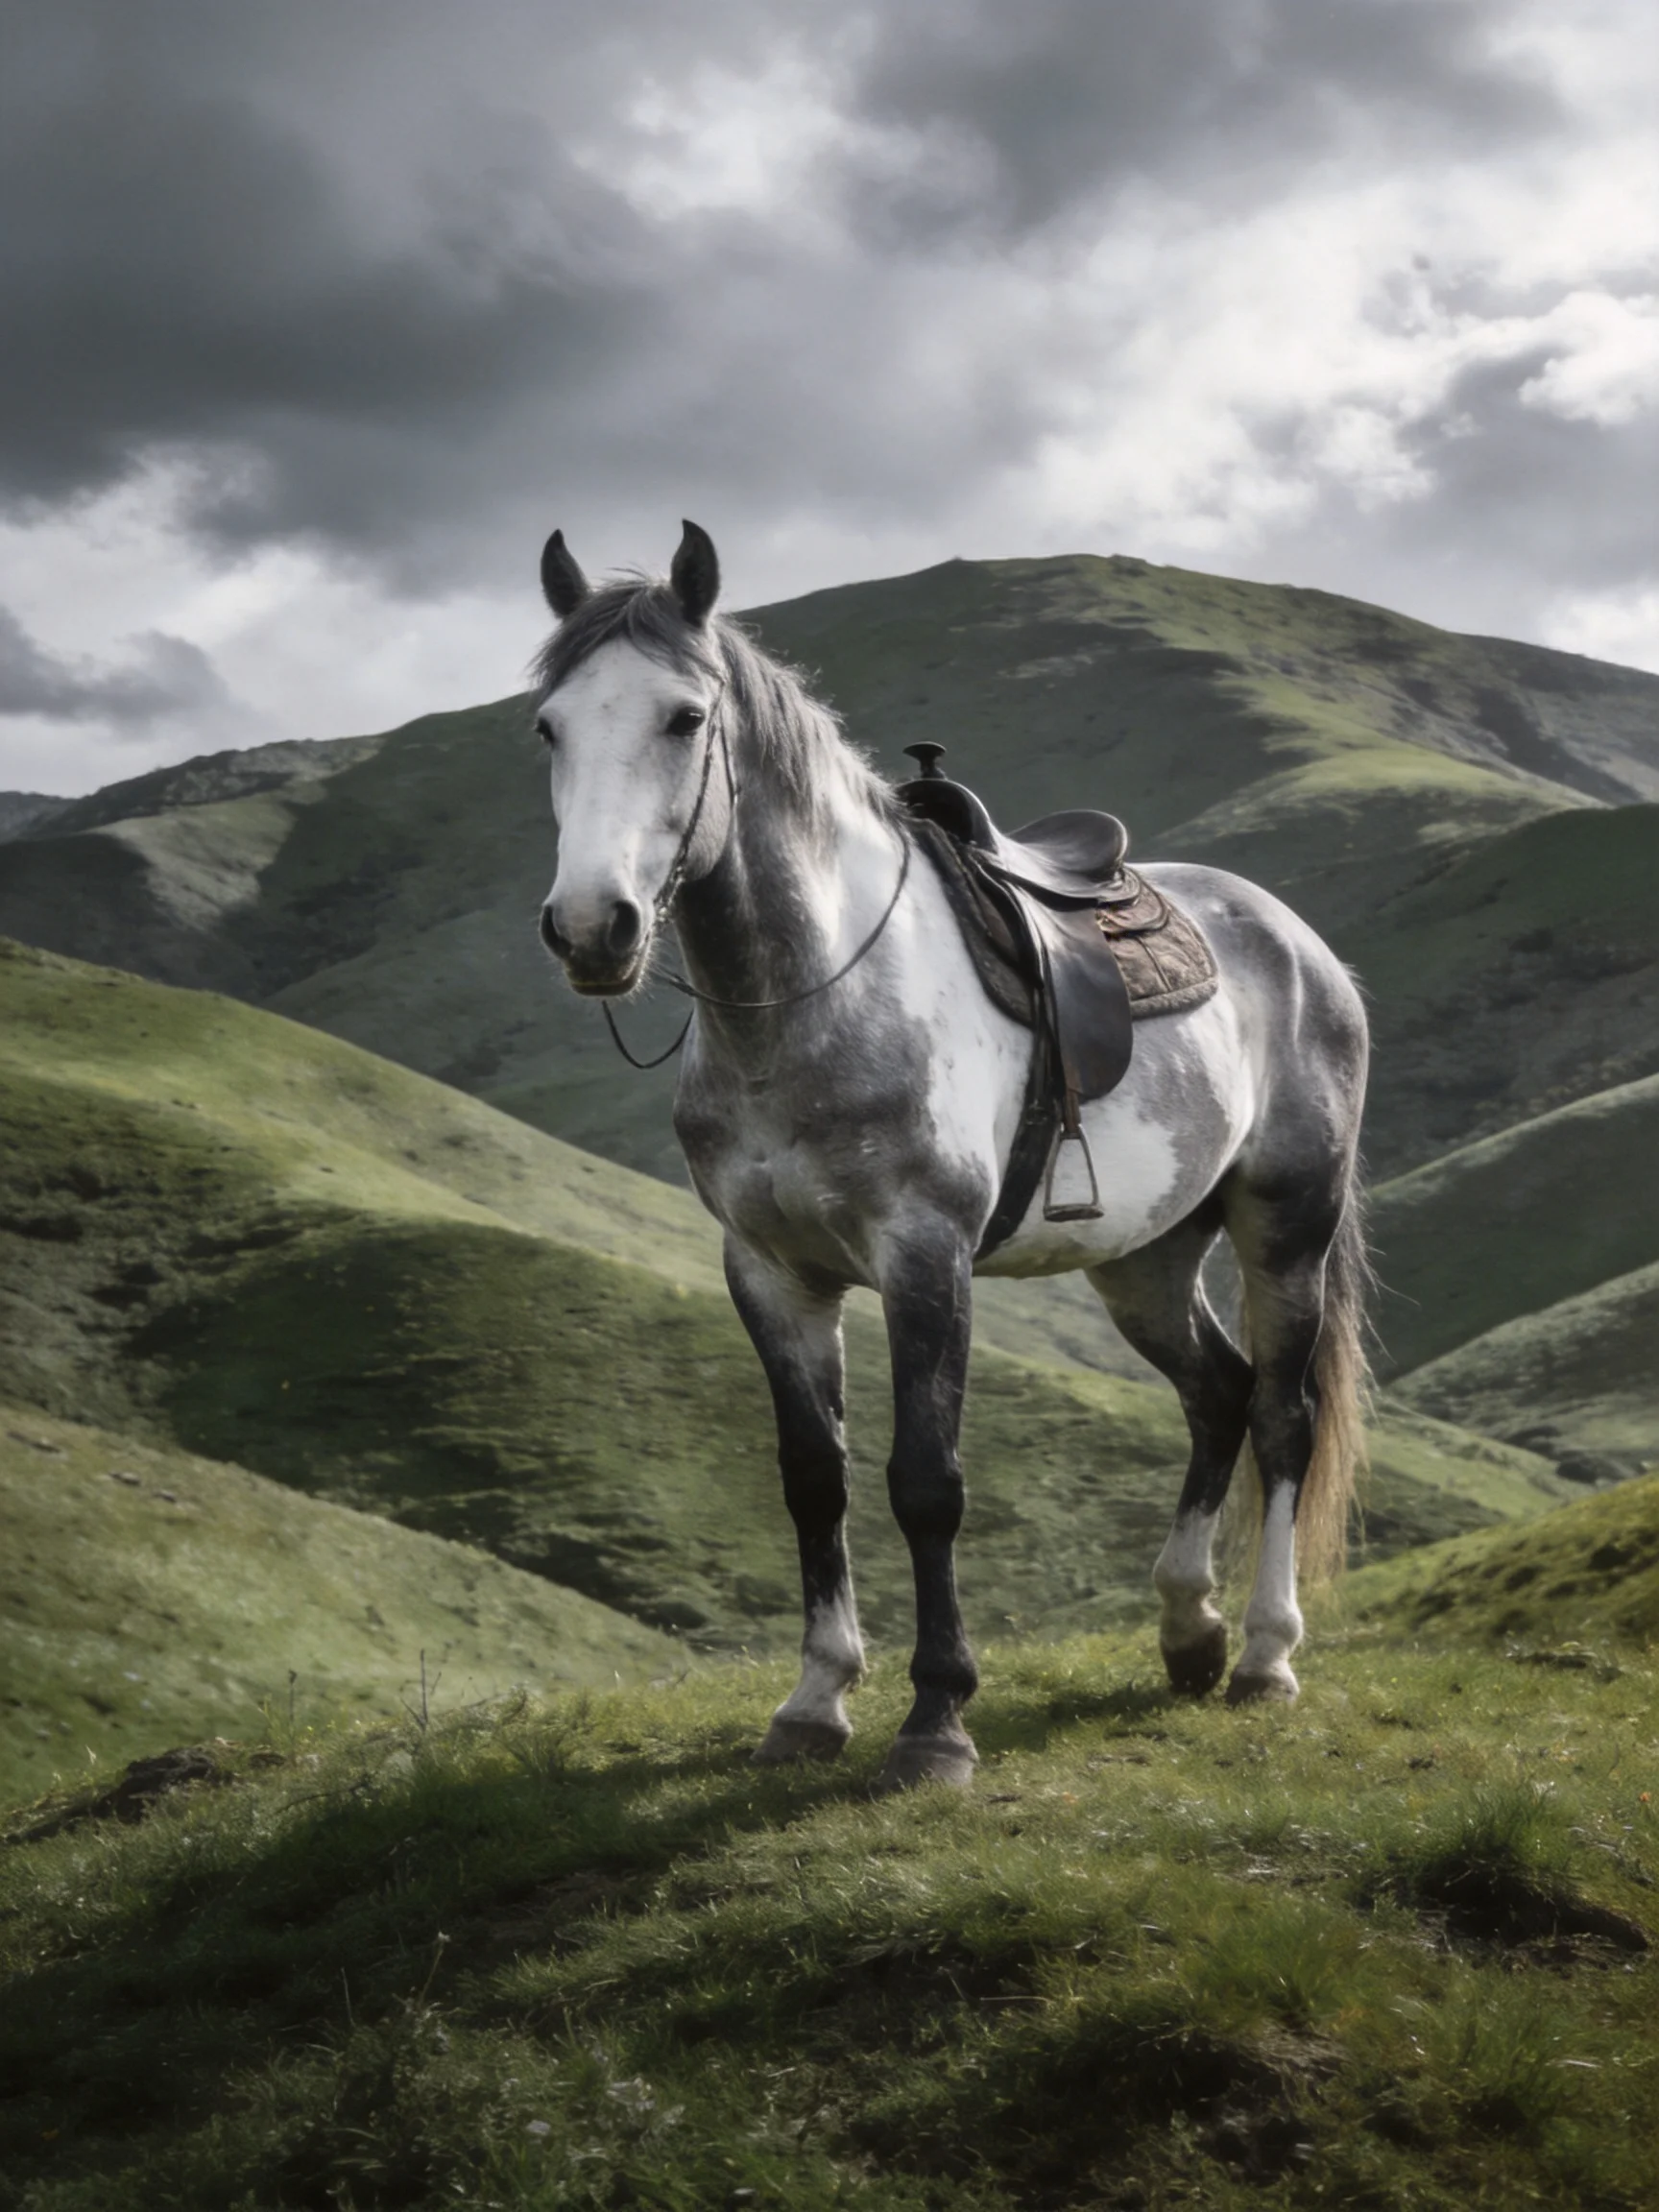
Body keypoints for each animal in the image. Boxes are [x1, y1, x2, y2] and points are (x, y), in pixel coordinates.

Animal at [531, 520, 1369, 1790]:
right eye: (549, 726)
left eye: (684, 718)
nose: (593, 928)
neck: (808, 1001)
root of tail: (1300, 942)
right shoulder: (769, 1273)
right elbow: (813, 1480)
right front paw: (814, 1702)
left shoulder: (925, 1259)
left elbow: (925, 1485)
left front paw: (936, 1721)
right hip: (1145, 1258)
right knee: (1216, 1394)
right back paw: (1189, 1631)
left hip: (1287, 1222)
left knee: (1281, 1414)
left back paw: (1267, 1655)